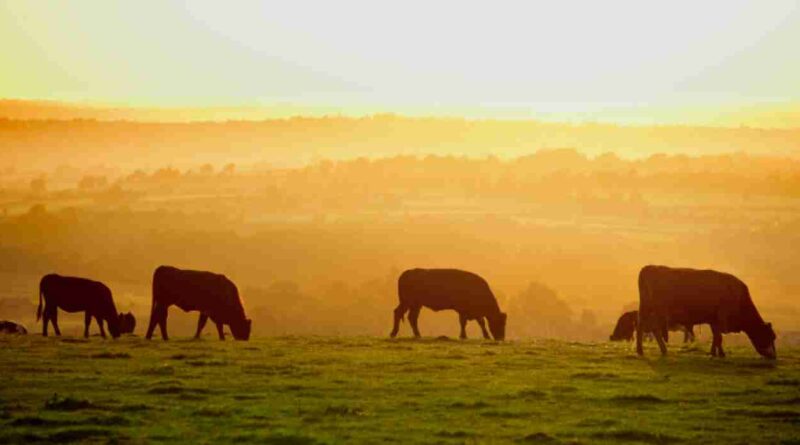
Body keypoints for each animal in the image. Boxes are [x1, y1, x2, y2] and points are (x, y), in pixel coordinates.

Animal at [636, 266, 776, 360]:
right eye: (770, 336)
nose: (774, 356)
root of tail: (649, 267)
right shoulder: (721, 318)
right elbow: (719, 337)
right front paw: (721, 354)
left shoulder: (714, 320)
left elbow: (716, 336)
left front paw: (715, 352)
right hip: (654, 311)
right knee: (647, 328)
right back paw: (646, 350)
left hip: (649, 310)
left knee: (650, 329)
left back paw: (656, 350)